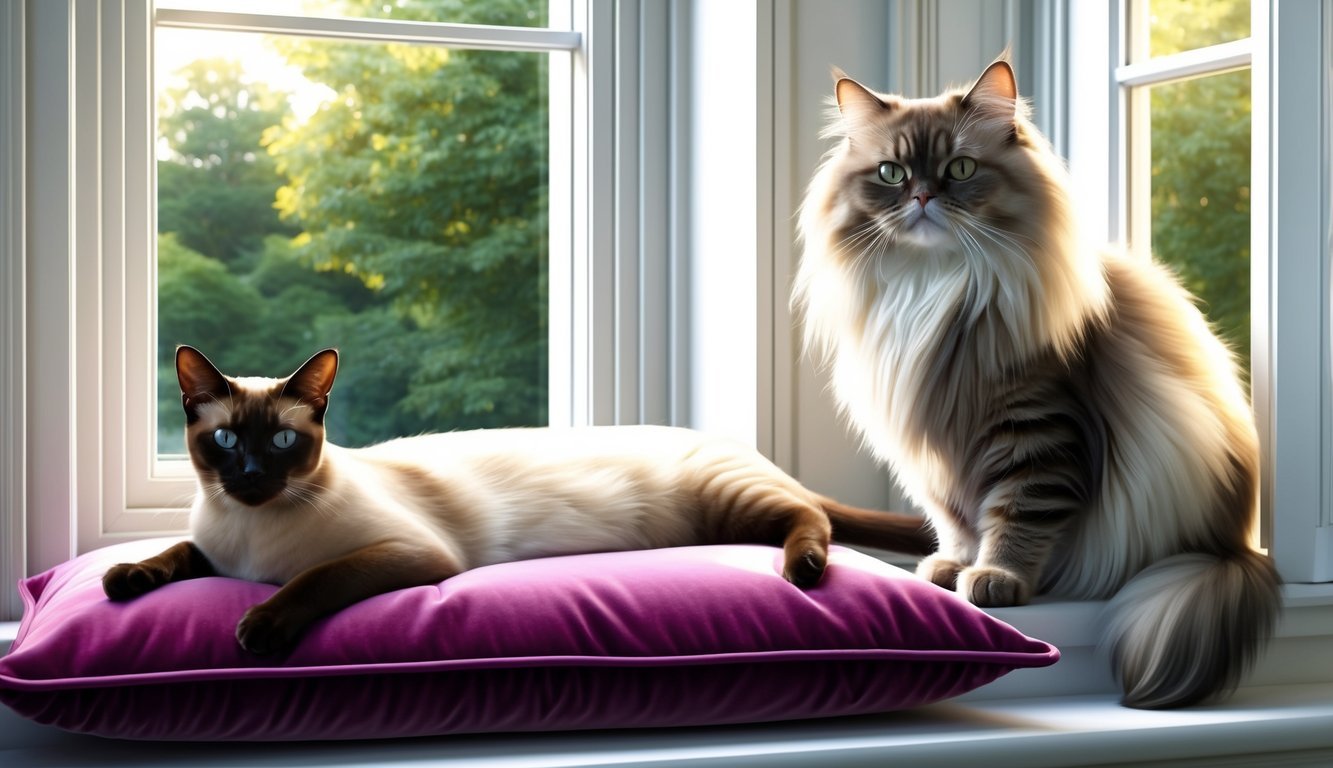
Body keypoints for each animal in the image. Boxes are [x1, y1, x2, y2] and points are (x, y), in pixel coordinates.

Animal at [103, 346, 933, 653]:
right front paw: (123, 579)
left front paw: (259, 627)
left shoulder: (405, 553)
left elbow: (312, 580)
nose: (250, 478)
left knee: (811, 517)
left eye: (279, 442)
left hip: (728, 502)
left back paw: (803, 572)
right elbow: (176, 551)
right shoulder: (216, 549)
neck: (250, 535)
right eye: (224, 441)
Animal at [789, 60, 1279, 709]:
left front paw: (994, 577)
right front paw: (951, 567)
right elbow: (956, 521)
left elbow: (1017, 516)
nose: (922, 197)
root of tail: (1237, 549)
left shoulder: (1035, 432)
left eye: (960, 169)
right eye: (891, 173)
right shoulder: (938, 456)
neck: (932, 286)